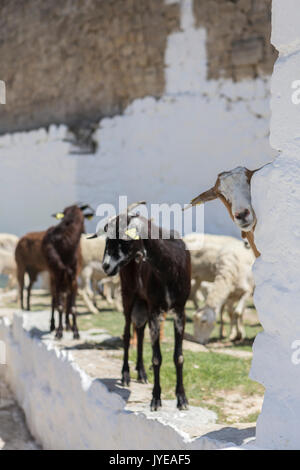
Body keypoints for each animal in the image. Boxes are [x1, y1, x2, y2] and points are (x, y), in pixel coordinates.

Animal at [98, 202, 191, 412]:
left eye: (123, 238)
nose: (106, 266)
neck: (169, 266)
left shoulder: (179, 310)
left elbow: (179, 357)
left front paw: (182, 399)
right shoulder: (155, 309)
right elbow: (156, 358)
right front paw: (156, 399)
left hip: (143, 303)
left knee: (139, 331)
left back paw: (140, 373)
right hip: (129, 295)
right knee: (127, 333)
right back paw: (126, 375)